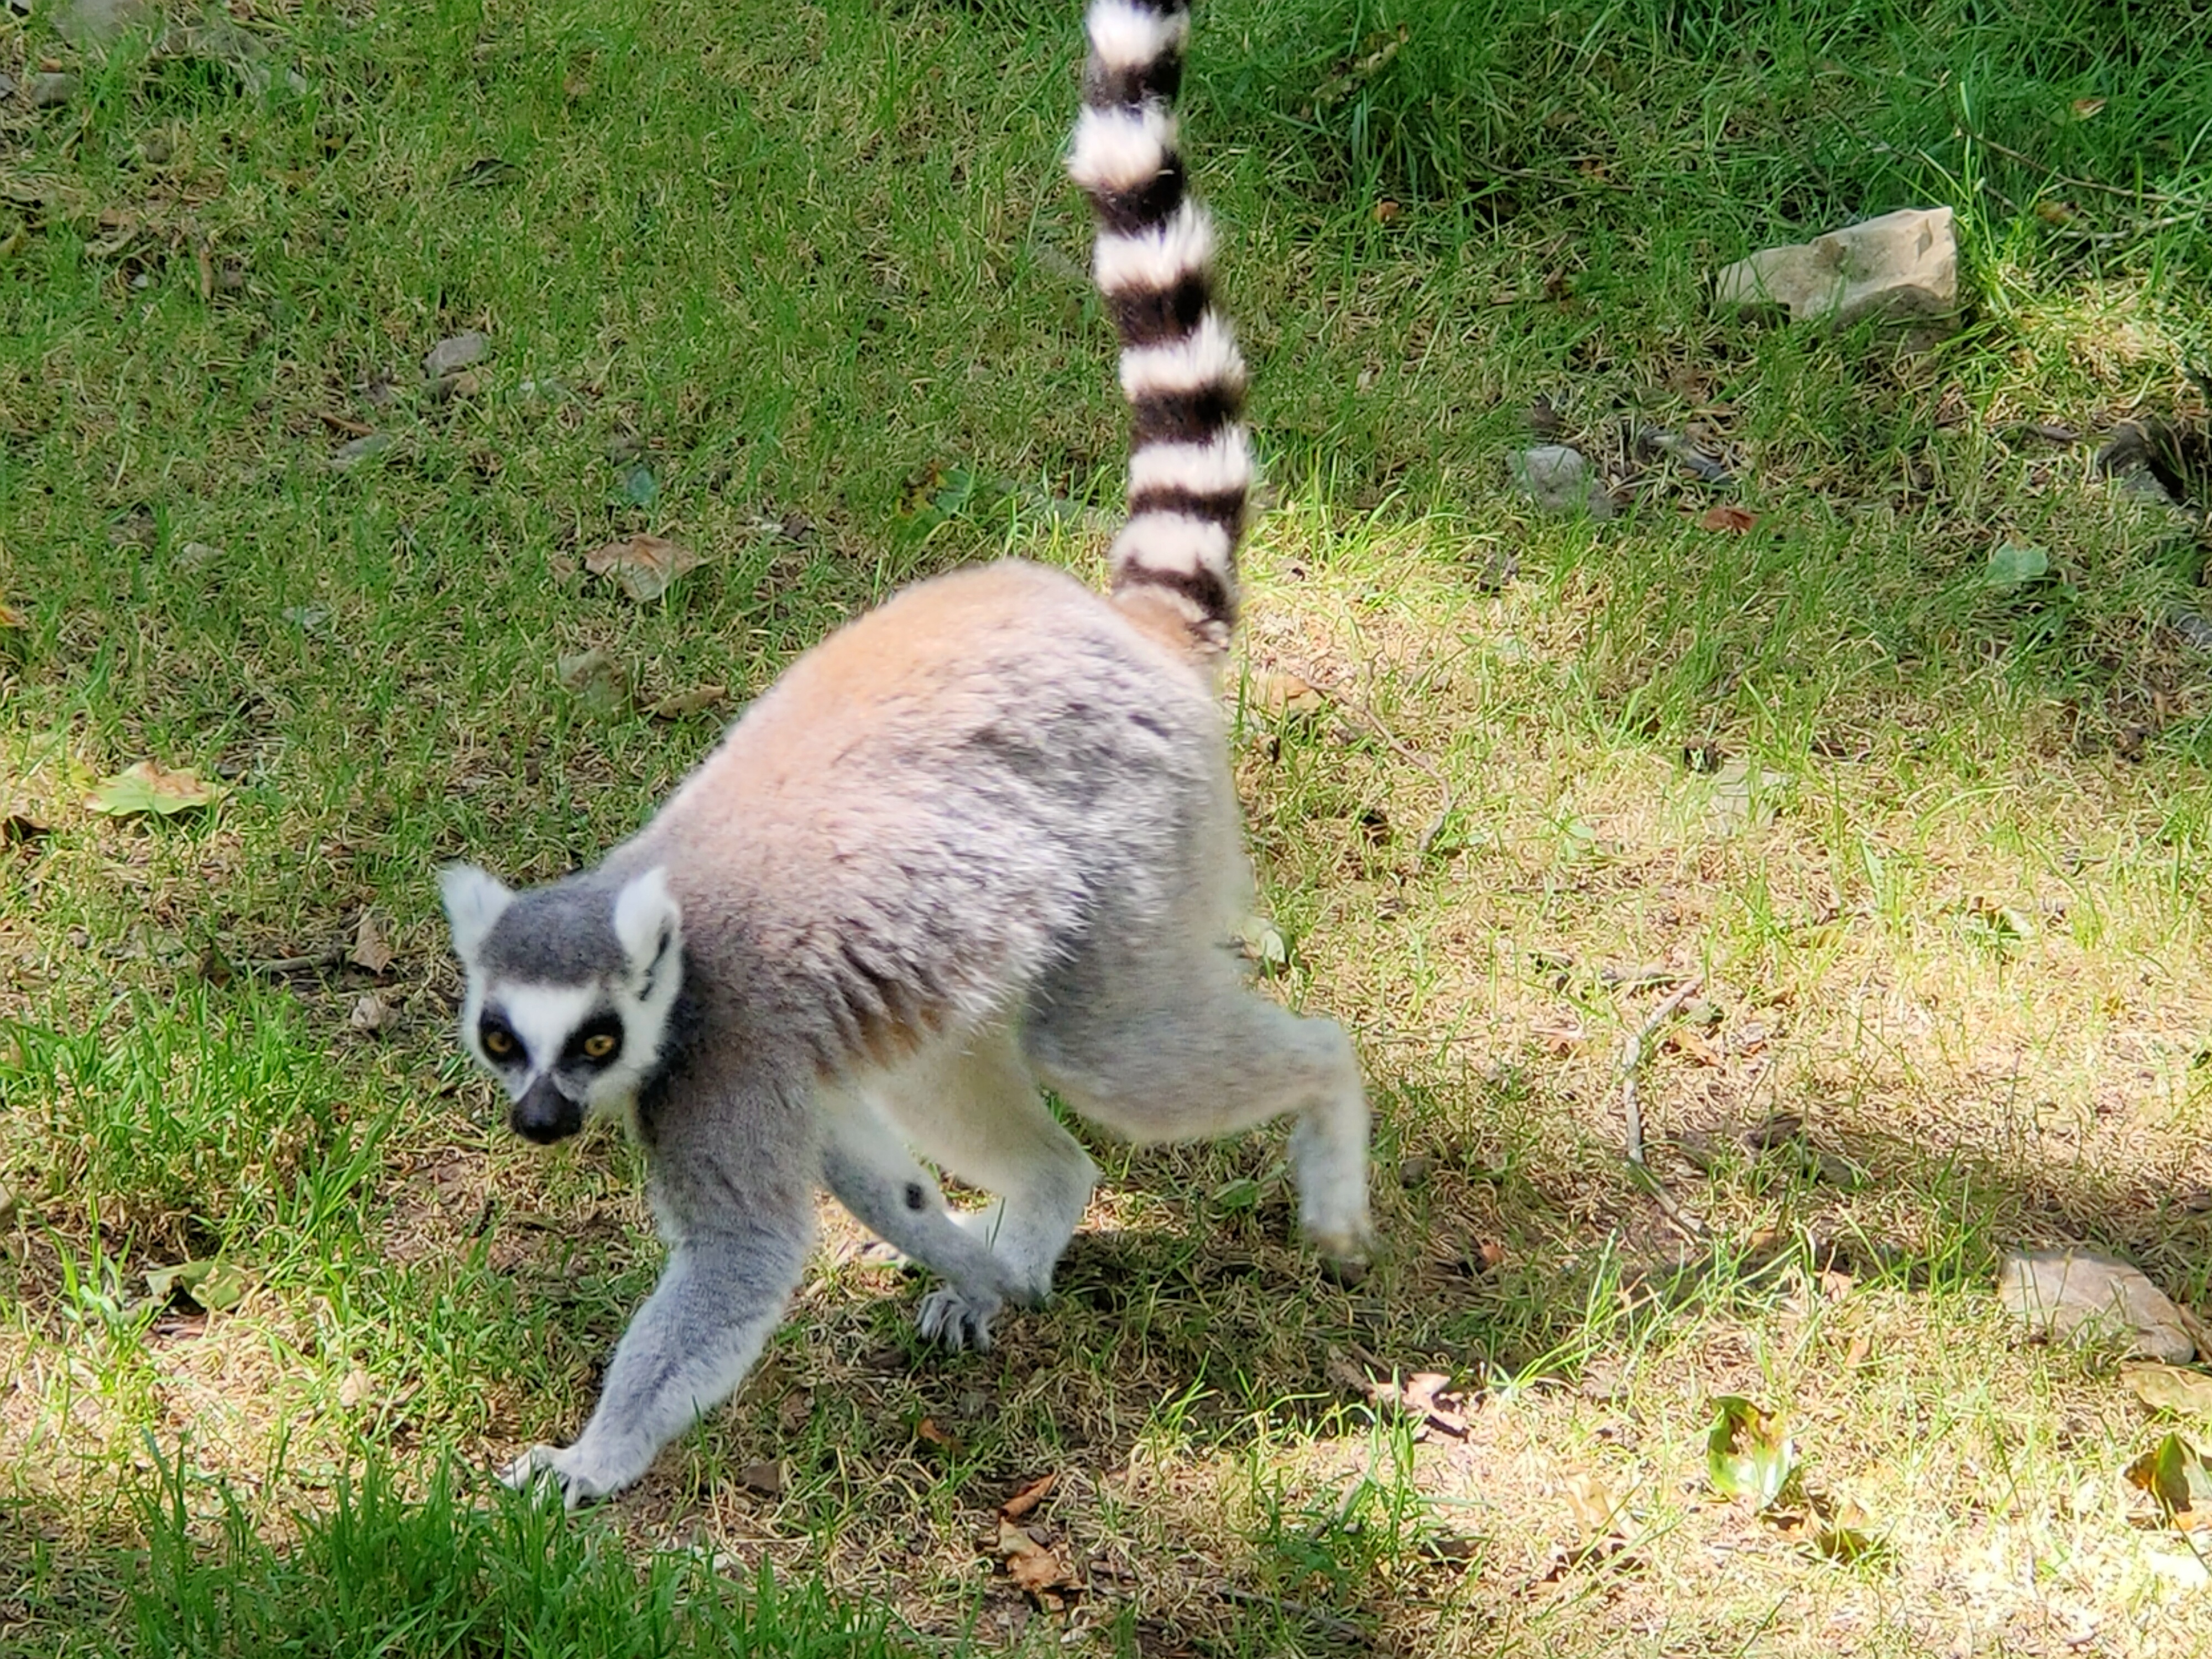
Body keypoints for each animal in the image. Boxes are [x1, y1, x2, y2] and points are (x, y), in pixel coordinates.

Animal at [440, 0, 1373, 1507]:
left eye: (592, 1041)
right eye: (496, 1035)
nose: (536, 1120)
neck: (666, 948)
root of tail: (1120, 631)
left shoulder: (723, 1061)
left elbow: (743, 1257)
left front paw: (589, 1460)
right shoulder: (782, 1077)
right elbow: (874, 1176)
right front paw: (969, 1264)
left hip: (1135, 857)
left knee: (1116, 1045)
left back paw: (1329, 1128)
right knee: (977, 1072)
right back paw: (1038, 1213)